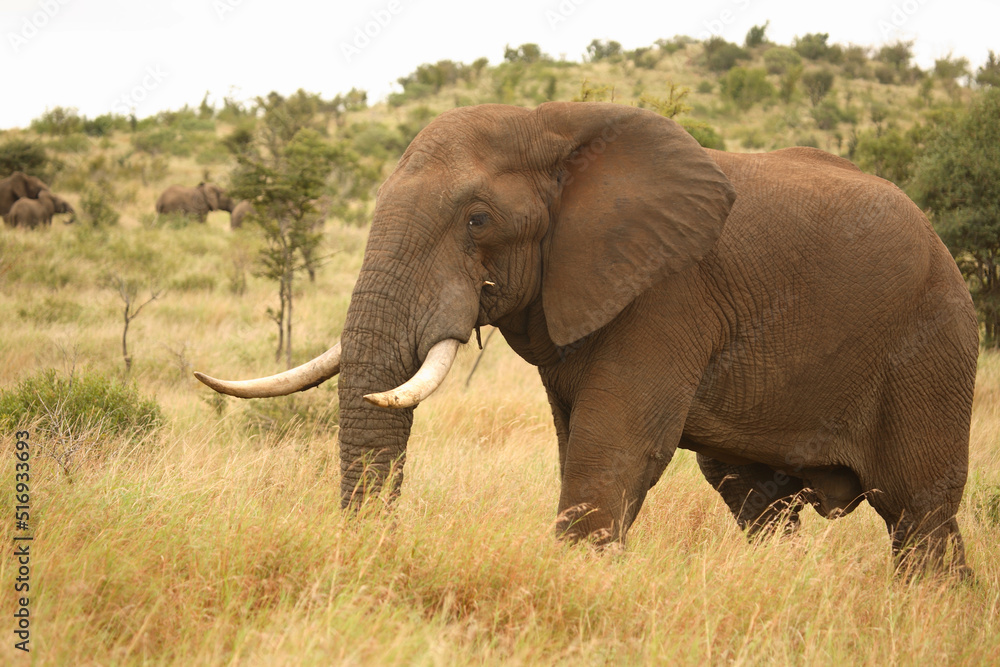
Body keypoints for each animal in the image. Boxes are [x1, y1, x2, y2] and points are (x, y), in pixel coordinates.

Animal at [196, 102, 978, 576]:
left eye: (477, 219)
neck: (552, 130)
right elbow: (580, 440)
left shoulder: (667, 291)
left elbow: (614, 447)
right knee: (754, 499)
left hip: (933, 344)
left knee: (918, 511)